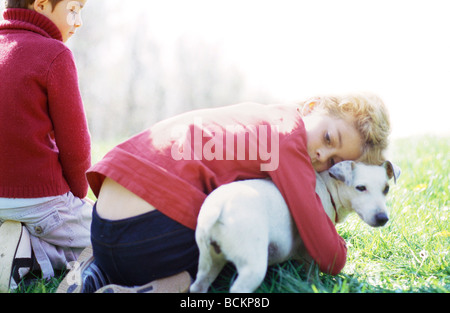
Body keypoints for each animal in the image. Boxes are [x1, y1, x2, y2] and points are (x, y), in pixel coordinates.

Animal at [190, 161, 400, 292]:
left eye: (386, 189)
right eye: (360, 188)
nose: (382, 218)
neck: (327, 186)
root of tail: (219, 207)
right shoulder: (313, 248)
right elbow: (313, 273)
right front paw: (316, 286)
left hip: (208, 261)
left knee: (198, 285)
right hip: (253, 266)